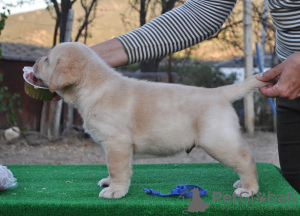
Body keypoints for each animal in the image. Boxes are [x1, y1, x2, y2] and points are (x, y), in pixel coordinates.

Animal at [33, 41, 270, 199]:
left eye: (47, 60)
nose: (33, 63)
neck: (93, 85)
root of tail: (219, 92)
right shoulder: (116, 147)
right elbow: (115, 168)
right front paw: (110, 183)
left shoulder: (117, 143)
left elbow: (117, 168)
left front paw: (115, 190)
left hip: (217, 141)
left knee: (246, 159)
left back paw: (249, 188)